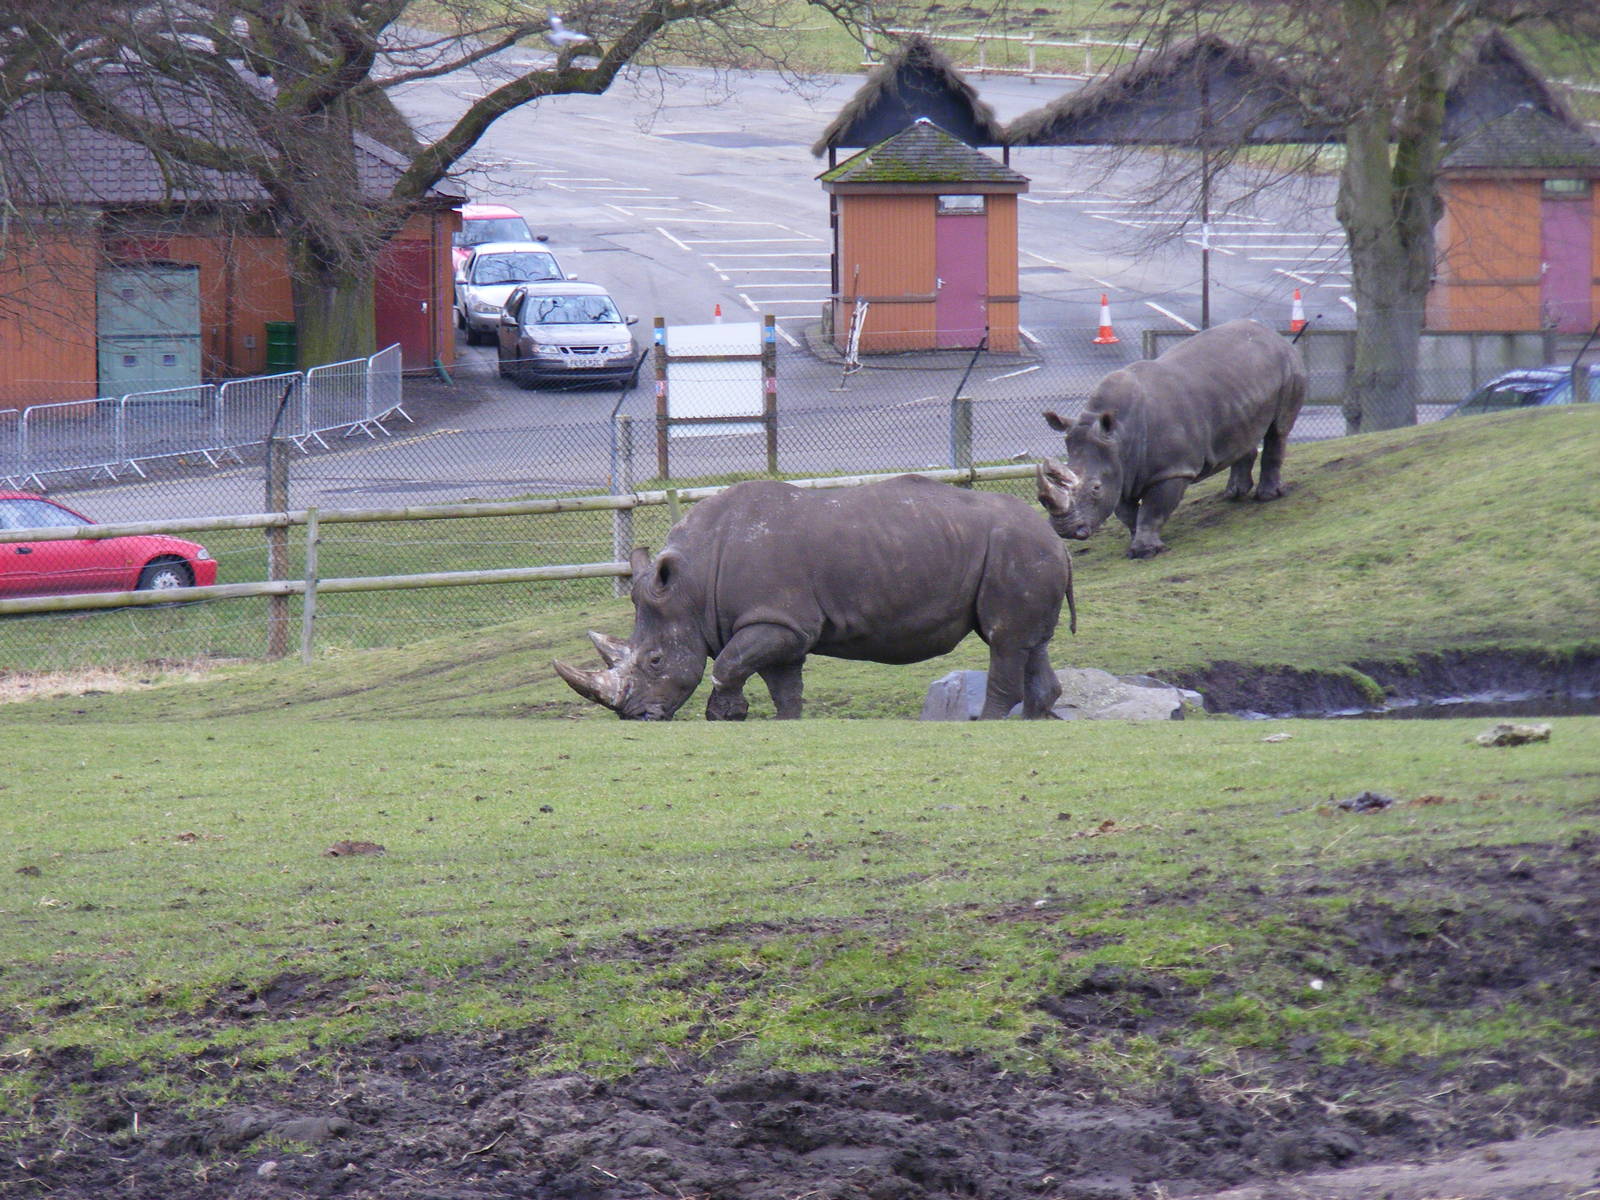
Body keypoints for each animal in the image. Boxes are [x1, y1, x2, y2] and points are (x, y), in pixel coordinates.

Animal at [554, 475, 1076, 720]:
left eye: (656, 661)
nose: (635, 716)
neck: (691, 585)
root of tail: (1058, 542)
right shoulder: (777, 624)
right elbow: (783, 686)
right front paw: (779, 721)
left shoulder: (778, 619)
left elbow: (728, 665)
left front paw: (724, 716)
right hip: (1025, 552)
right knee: (1030, 644)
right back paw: (1033, 721)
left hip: (1016, 549)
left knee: (1004, 641)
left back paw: (988, 723)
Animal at [1037, 318, 1306, 558]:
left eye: (1095, 488)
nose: (1064, 530)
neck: (1119, 437)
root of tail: (1274, 335)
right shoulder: (1120, 469)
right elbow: (1127, 513)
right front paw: (1137, 541)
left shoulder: (1172, 469)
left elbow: (1153, 510)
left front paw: (1145, 552)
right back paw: (1234, 494)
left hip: (1288, 365)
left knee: (1278, 430)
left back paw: (1267, 497)